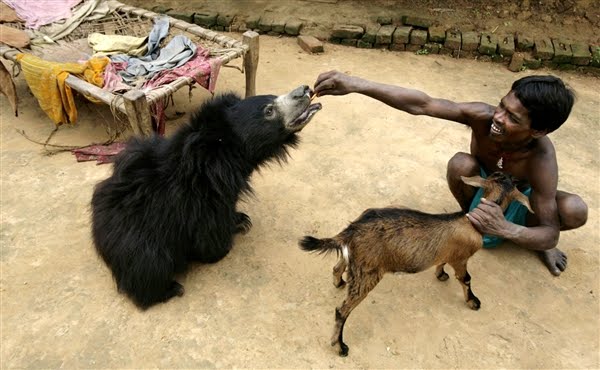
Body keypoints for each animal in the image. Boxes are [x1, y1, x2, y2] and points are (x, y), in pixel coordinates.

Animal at [91, 85, 322, 308]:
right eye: (269, 111)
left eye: (273, 97)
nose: (305, 90)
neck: (222, 160)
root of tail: (99, 233)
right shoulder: (200, 199)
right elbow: (209, 228)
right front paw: (223, 246)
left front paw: (240, 219)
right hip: (140, 242)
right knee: (149, 268)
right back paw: (170, 289)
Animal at [302, 172, 532, 356]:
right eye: (514, 182)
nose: (520, 179)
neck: (470, 222)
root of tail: (353, 229)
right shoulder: (461, 259)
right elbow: (466, 279)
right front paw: (473, 302)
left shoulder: (448, 254)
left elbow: (442, 262)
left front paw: (441, 275)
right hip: (368, 272)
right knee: (342, 311)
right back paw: (340, 346)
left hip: (355, 259)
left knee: (337, 266)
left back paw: (339, 282)